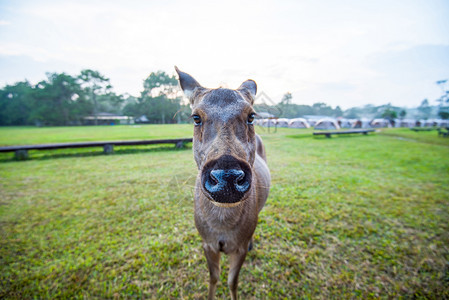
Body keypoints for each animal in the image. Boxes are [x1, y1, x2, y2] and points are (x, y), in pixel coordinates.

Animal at [176, 67, 272, 300]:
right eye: (196, 117)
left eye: (251, 116)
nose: (227, 177)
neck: (222, 227)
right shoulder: (207, 242)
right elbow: (213, 277)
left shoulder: (238, 246)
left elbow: (232, 281)